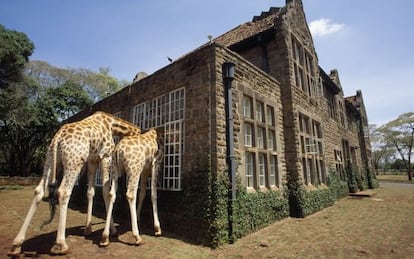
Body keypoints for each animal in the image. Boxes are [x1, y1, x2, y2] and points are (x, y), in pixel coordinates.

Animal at [6, 111, 141, 256]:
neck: (112, 124)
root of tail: (58, 137)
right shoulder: (105, 156)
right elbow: (106, 192)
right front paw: (111, 233)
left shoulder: (92, 160)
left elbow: (90, 191)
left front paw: (88, 229)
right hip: (74, 161)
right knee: (64, 192)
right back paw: (62, 245)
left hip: (50, 159)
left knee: (39, 191)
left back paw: (16, 245)